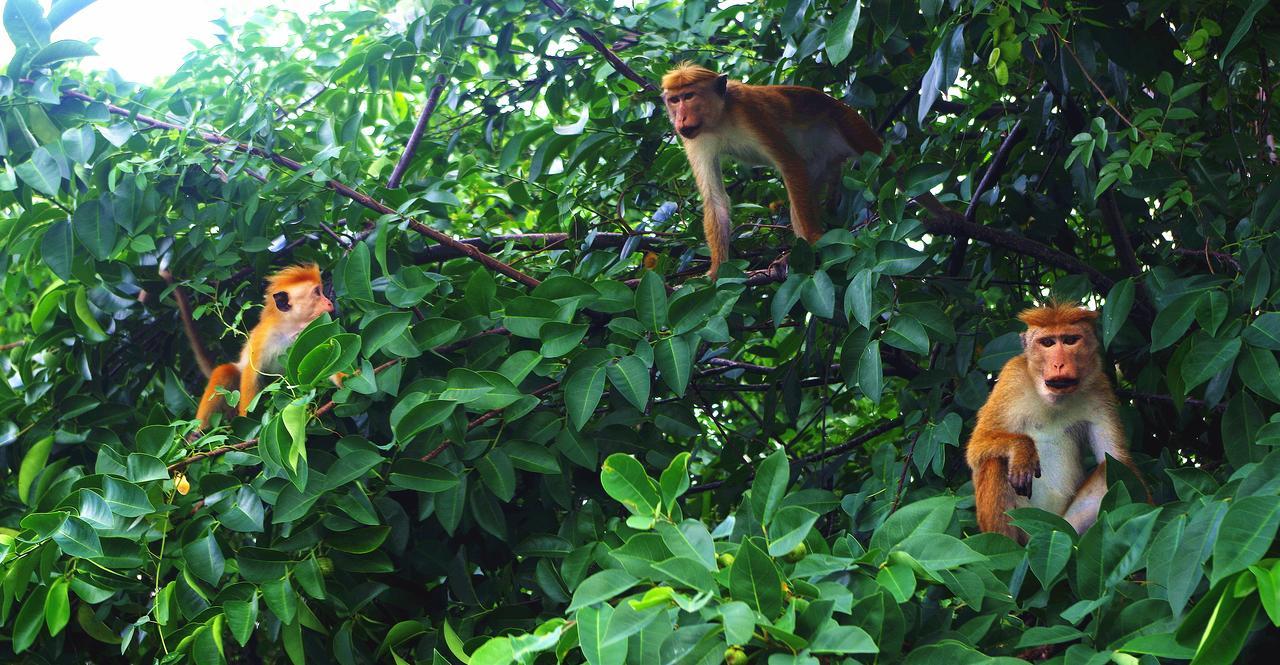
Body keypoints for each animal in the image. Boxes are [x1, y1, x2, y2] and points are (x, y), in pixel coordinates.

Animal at [660, 62, 962, 277]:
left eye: (689, 96)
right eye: (674, 100)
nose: (680, 118)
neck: (720, 117)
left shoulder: (752, 113)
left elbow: (789, 164)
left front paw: (816, 239)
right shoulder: (695, 139)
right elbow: (715, 199)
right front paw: (716, 272)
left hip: (850, 123)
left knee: (888, 167)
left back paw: (939, 211)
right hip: (818, 165)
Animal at [962, 304, 1146, 542]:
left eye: (1070, 340)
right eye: (1047, 343)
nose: (1059, 363)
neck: (1053, 398)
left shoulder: (1100, 389)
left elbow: (1117, 459)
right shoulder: (1011, 378)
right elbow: (977, 446)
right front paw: (1022, 451)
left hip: (1064, 527)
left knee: (1107, 468)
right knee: (995, 461)